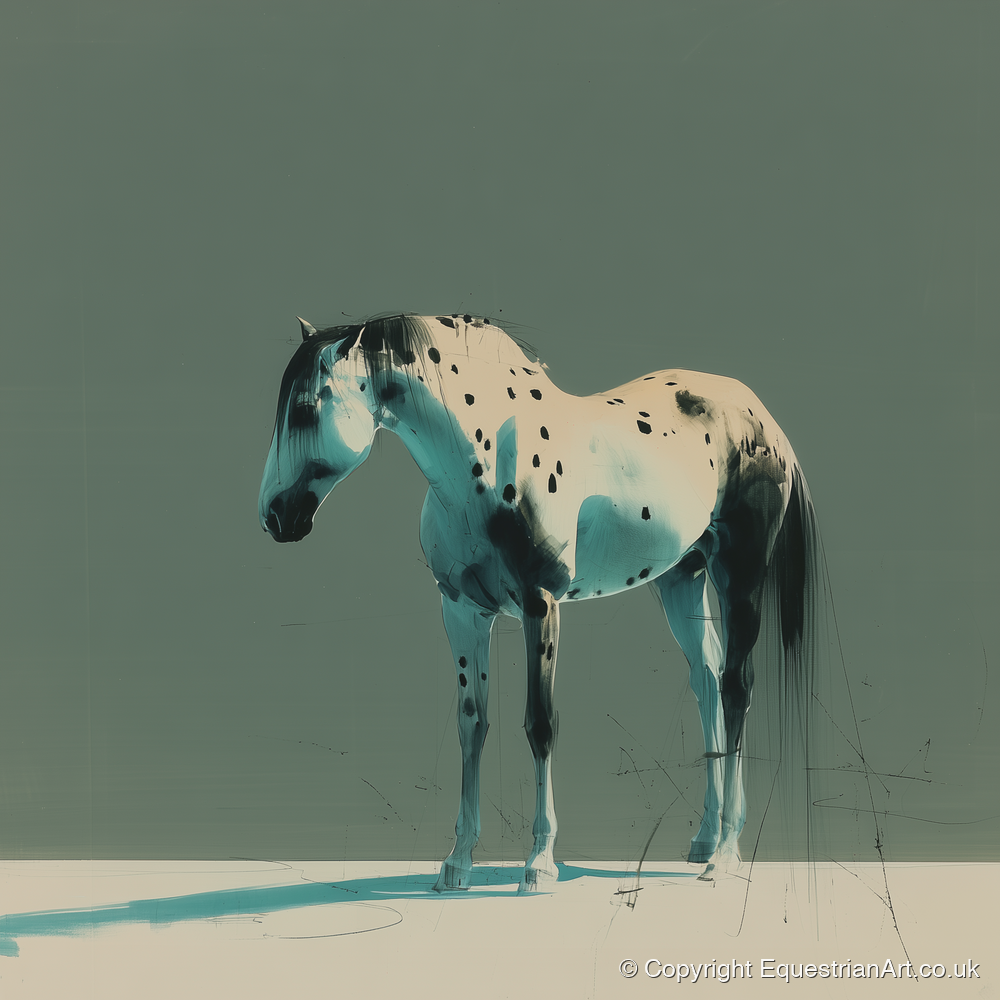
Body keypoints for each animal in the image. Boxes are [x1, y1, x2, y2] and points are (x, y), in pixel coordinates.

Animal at [258, 313, 821, 893]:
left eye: (305, 409)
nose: (274, 515)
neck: (484, 457)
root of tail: (758, 413)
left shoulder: (541, 603)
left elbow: (541, 724)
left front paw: (539, 864)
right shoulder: (461, 612)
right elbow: (472, 724)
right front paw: (457, 863)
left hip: (739, 574)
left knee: (735, 688)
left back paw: (725, 855)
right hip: (680, 578)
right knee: (706, 681)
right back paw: (705, 838)